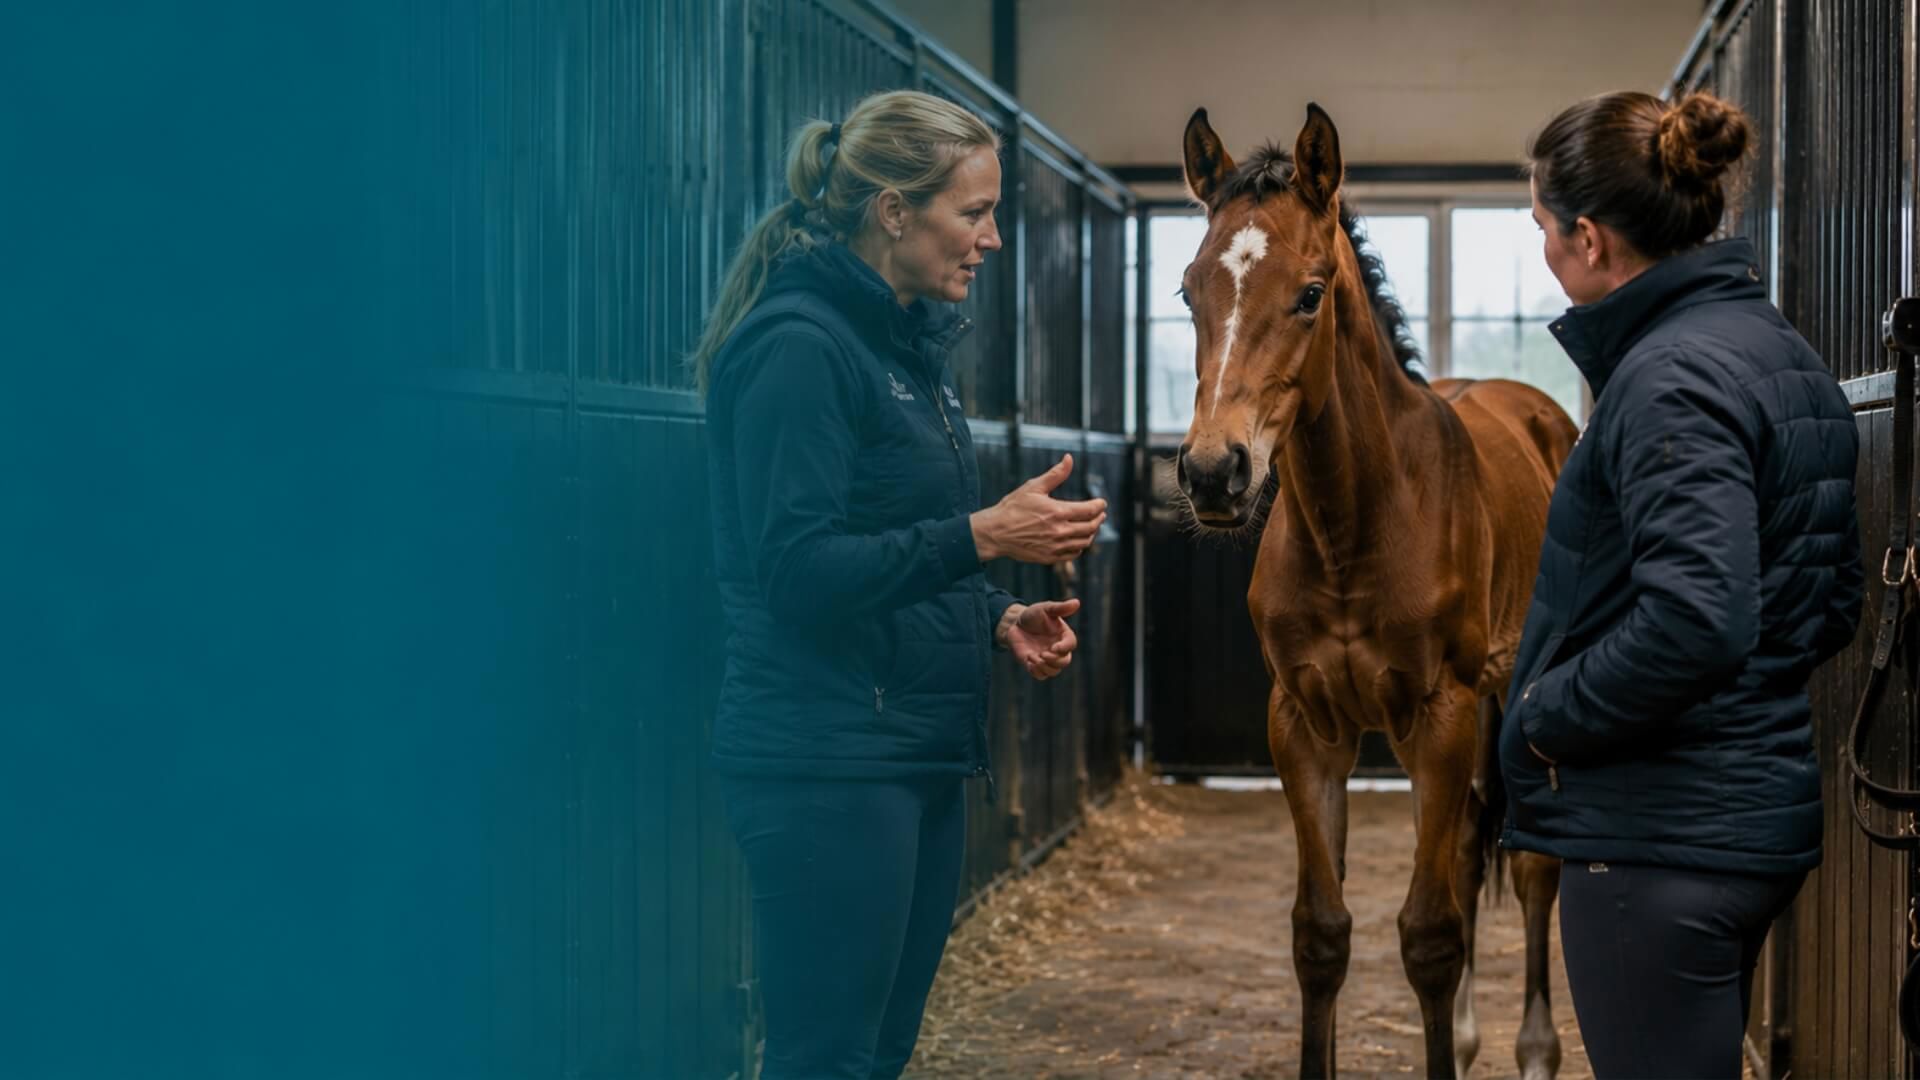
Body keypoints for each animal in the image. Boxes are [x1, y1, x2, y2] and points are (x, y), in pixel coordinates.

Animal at [1172, 103, 1577, 1080]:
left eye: (1311, 293)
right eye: (1188, 291)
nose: (1212, 473)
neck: (1353, 528)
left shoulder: (1438, 713)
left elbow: (1429, 936)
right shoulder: (1306, 725)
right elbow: (1321, 934)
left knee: (1528, 869)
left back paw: (1534, 1049)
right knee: (1466, 850)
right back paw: (1467, 1037)